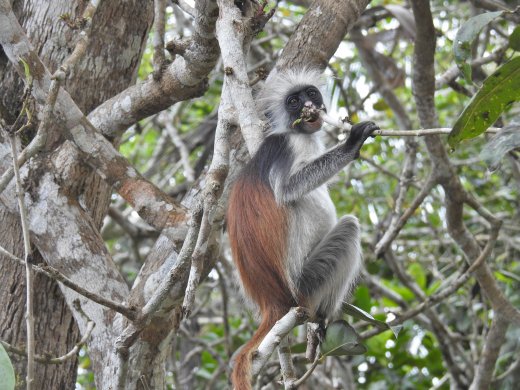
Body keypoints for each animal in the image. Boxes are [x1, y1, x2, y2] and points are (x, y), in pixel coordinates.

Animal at [228, 68, 378, 388]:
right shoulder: (285, 146)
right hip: (306, 283)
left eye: (311, 94)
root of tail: (272, 300)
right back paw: (320, 318)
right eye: (293, 102)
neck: (296, 132)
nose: (309, 106)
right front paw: (351, 145)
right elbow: (287, 190)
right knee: (349, 227)